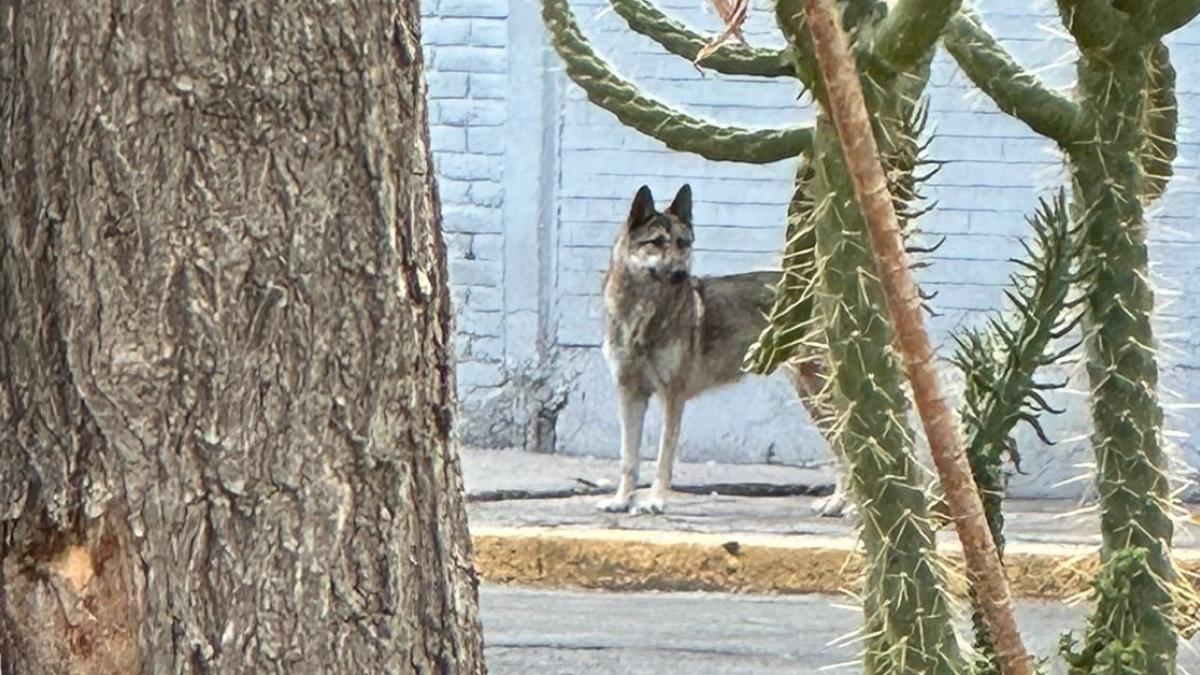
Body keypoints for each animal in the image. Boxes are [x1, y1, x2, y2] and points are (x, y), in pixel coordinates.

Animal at [592, 181, 840, 511]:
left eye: (683, 243)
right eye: (656, 242)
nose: (680, 274)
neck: (642, 312)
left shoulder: (673, 397)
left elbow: (663, 457)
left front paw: (655, 500)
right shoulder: (629, 394)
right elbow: (628, 457)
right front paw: (621, 500)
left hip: (818, 394)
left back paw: (843, 504)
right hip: (812, 396)